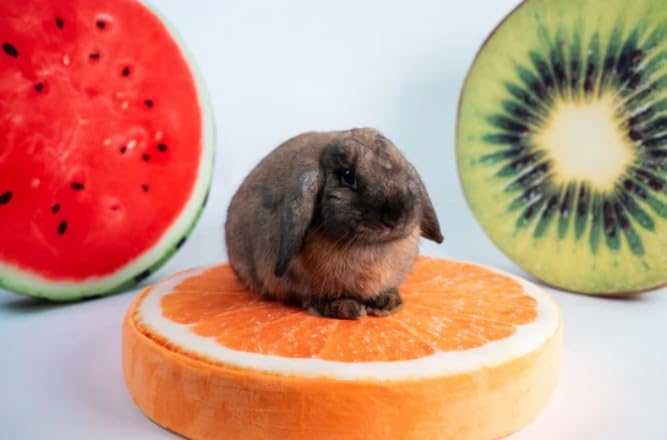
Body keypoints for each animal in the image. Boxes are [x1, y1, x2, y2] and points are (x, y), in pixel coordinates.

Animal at [225, 128, 443, 319]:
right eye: (347, 176)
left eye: (404, 172)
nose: (394, 217)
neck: (369, 245)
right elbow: (315, 299)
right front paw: (347, 308)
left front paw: (388, 303)